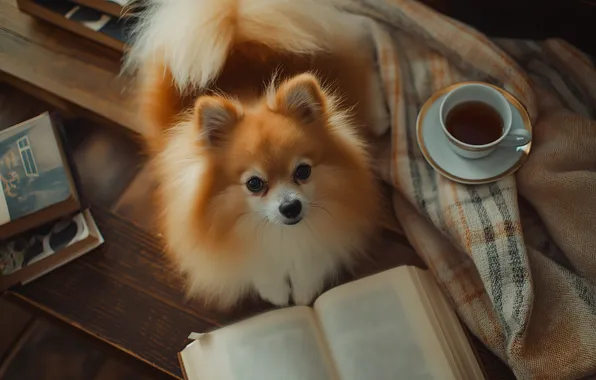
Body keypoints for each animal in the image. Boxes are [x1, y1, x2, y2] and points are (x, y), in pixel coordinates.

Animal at [127, 0, 386, 308]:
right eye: (254, 184)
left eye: (303, 171)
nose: (290, 207)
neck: (281, 234)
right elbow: (256, 267)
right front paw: (277, 293)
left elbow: (313, 260)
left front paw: (304, 290)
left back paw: (382, 118)